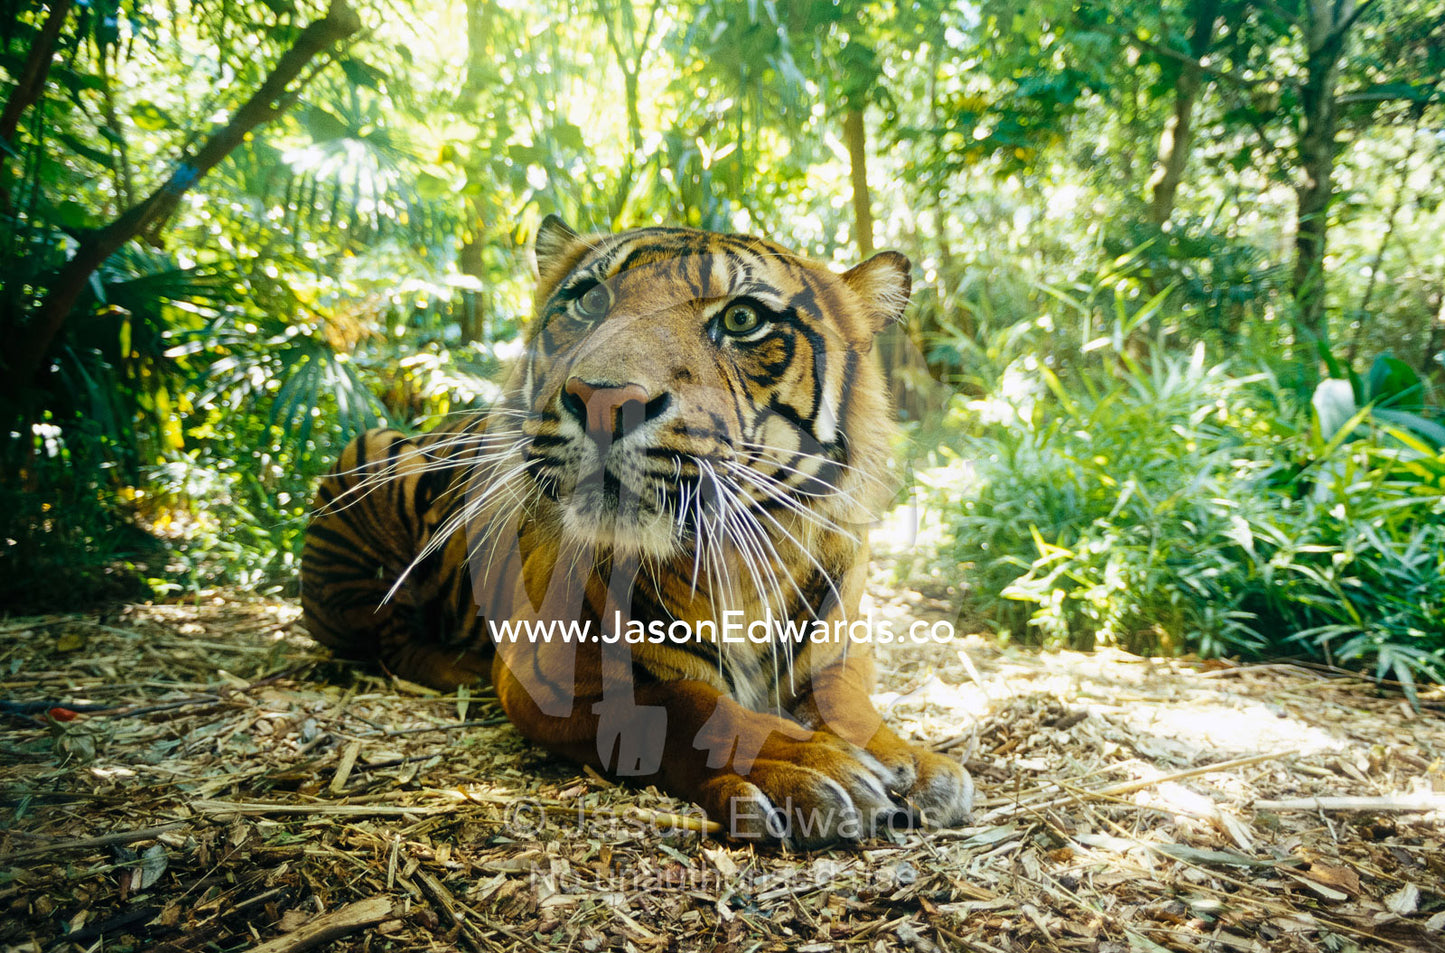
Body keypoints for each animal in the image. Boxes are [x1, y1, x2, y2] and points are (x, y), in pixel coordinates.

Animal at [300, 216, 974, 847]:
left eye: (742, 318)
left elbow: (852, 707)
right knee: (386, 636)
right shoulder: (550, 674)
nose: (604, 401)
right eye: (590, 301)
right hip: (380, 455)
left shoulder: (841, 653)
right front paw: (813, 768)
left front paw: (917, 765)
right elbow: (687, 707)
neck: (747, 562)